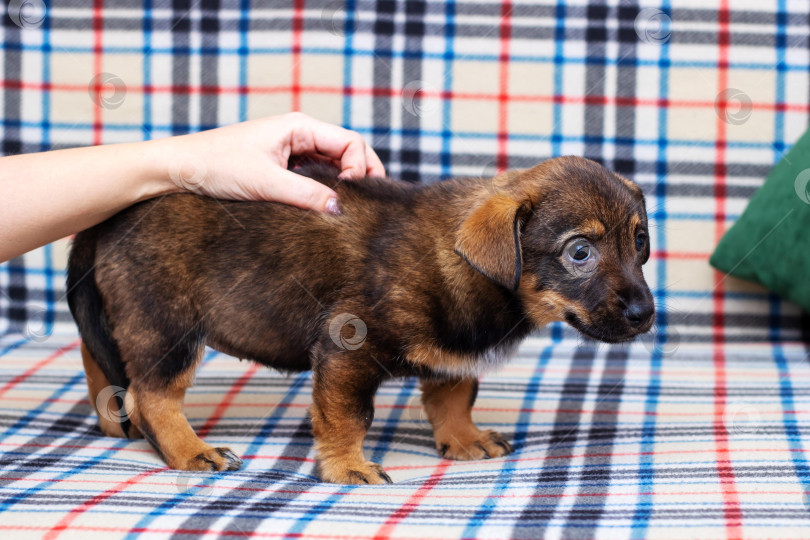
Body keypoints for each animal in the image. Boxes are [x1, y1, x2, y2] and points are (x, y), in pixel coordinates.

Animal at [66, 156, 652, 486]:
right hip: (167, 323)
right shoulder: (347, 349)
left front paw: (463, 439)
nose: (646, 314)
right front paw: (347, 467)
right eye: (580, 252)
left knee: (100, 358)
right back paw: (191, 451)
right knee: (151, 395)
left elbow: (454, 396)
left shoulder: (453, 350)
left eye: (641, 242)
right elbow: (348, 417)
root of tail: (105, 219)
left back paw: (110, 418)